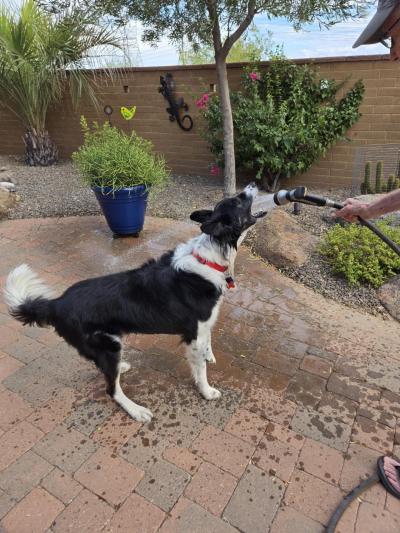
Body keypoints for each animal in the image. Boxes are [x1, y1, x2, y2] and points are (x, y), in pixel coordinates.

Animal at [4, 183, 266, 420]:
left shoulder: (204, 326)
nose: (253, 184)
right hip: (108, 346)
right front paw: (207, 391)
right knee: (111, 390)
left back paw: (122, 368)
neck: (209, 258)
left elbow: (208, 344)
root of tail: (57, 303)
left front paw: (210, 357)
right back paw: (136, 410)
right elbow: (200, 369)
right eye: (239, 201)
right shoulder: (194, 334)